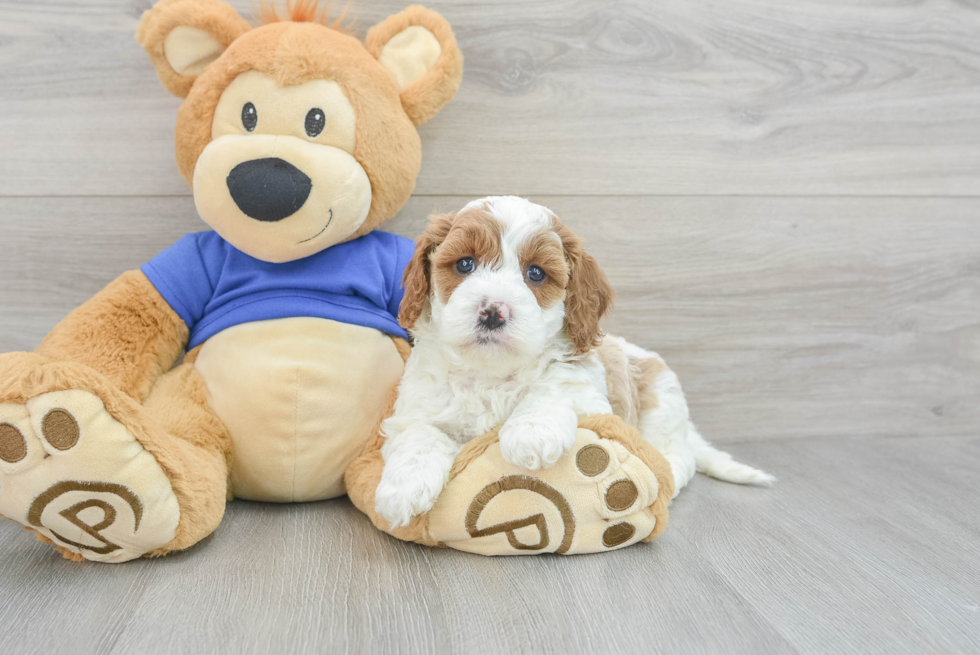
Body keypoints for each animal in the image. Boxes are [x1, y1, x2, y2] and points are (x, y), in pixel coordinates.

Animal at [376, 197, 772, 532]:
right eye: (464, 264)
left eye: (536, 274)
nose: (493, 311)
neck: (492, 372)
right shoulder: (417, 408)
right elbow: (419, 433)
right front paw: (402, 489)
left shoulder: (587, 391)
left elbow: (554, 389)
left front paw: (530, 432)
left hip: (663, 402)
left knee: (679, 457)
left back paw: (664, 475)